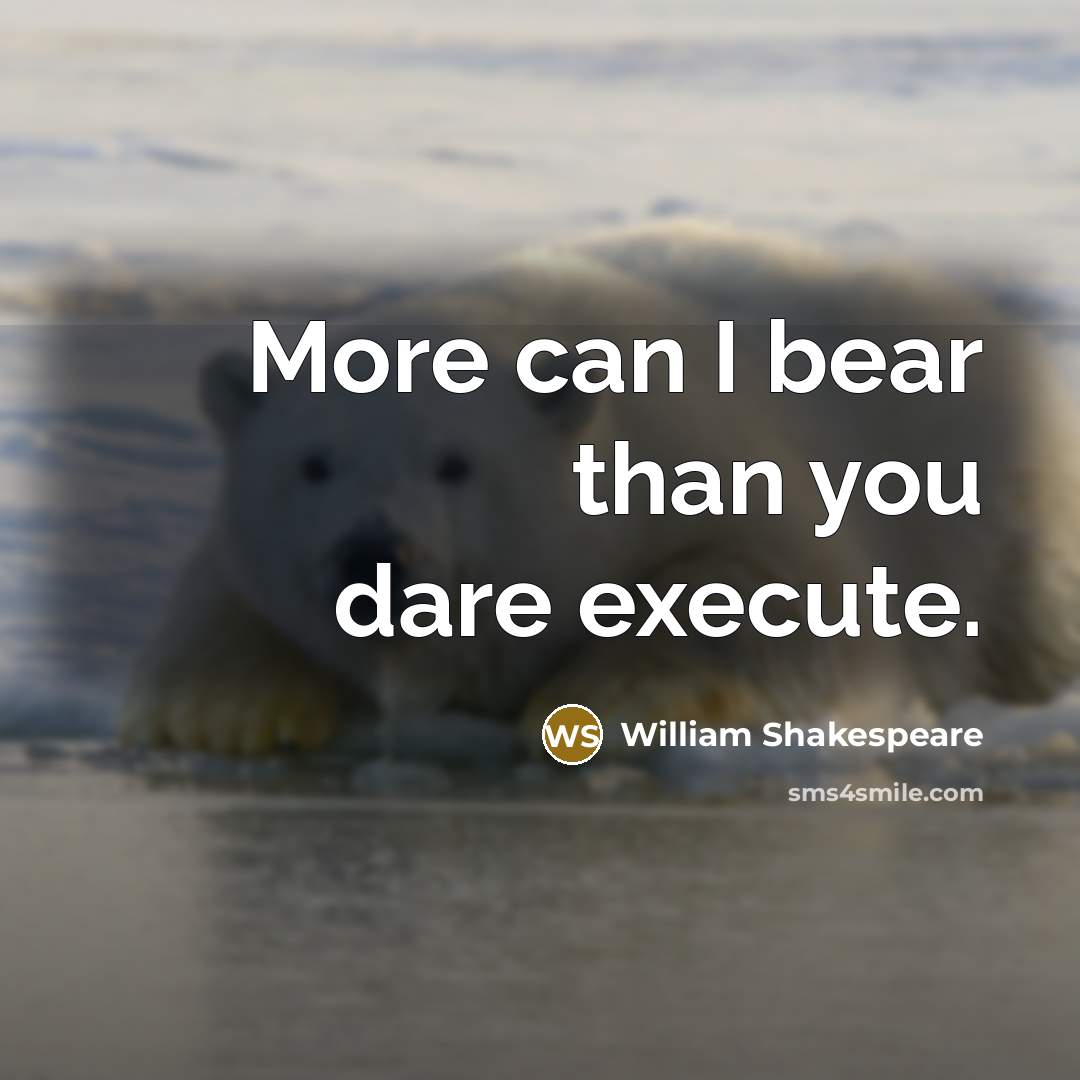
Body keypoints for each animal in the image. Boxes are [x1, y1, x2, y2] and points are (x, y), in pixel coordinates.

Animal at [120, 221, 1080, 759]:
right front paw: (228, 714)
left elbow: (782, 591)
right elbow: (224, 595)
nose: (375, 554)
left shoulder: (711, 461)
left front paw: (606, 704)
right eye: (313, 463)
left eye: (455, 462)